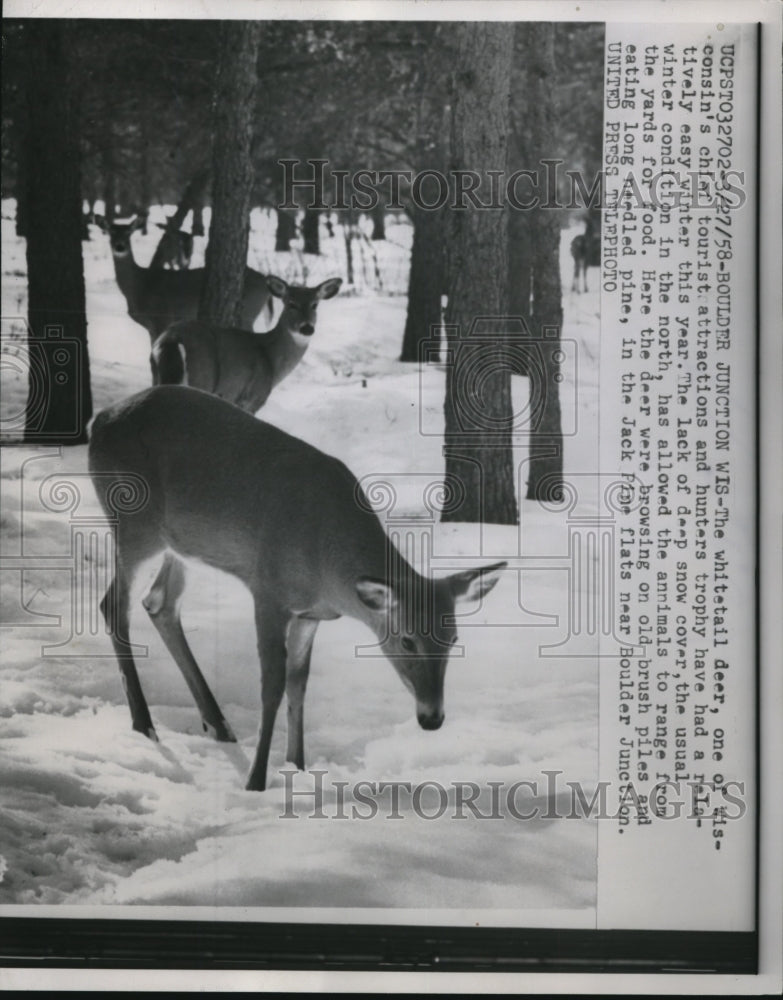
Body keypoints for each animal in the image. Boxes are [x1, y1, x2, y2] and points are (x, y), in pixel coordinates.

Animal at [88, 385, 506, 792]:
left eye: (453, 638)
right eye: (406, 640)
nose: (432, 718)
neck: (326, 562)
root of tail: (100, 422)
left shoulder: (310, 614)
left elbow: (299, 684)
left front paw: (297, 766)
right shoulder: (268, 590)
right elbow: (272, 683)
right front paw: (256, 780)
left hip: (181, 546)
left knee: (160, 602)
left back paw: (218, 724)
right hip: (133, 522)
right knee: (114, 605)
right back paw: (144, 724)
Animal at [99, 215, 272, 342]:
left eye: (129, 232)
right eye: (111, 232)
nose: (120, 246)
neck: (141, 284)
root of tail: (265, 282)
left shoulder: (163, 317)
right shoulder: (151, 326)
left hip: (248, 312)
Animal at [150, 275, 342, 414]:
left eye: (315, 305)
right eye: (291, 304)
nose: (307, 328)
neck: (271, 360)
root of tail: (172, 337)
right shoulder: (252, 398)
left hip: (157, 374)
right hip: (202, 376)